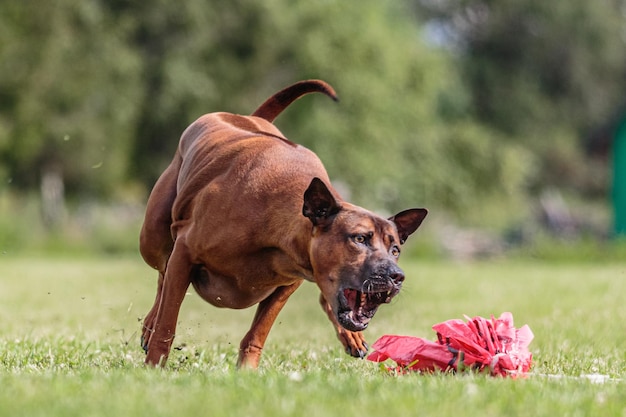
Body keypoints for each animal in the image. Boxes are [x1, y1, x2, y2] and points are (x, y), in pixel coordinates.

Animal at [139, 80, 426, 368]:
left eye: (395, 250)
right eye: (359, 239)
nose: (396, 276)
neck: (276, 227)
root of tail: (249, 118)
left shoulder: (289, 281)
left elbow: (257, 333)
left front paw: (246, 371)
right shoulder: (185, 251)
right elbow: (167, 320)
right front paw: (155, 365)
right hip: (152, 238)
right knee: (162, 274)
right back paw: (150, 325)